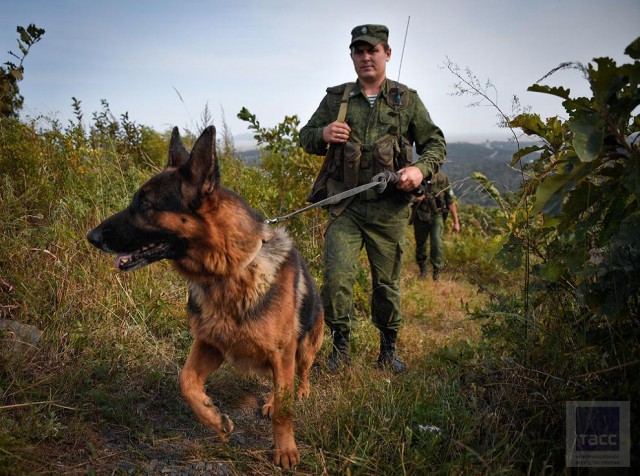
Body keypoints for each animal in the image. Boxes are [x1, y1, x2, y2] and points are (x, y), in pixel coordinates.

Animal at [86, 126, 324, 468]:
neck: (228, 272)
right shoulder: (210, 344)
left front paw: (285, 450)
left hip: (304, 345)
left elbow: (284, 410)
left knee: (300, 373)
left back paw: (297, 392)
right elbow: (186, 381)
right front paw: (215, 420)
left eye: (145, 205)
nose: (91, 237)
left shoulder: (281, 351)